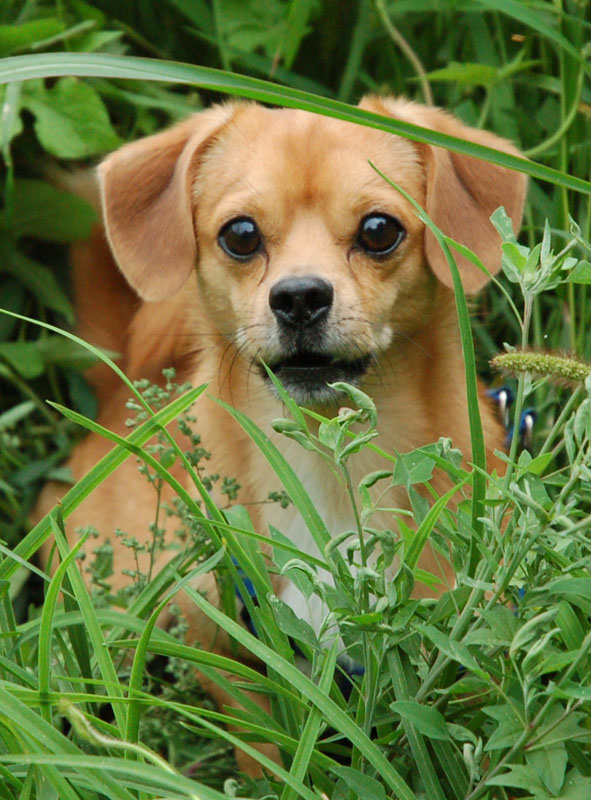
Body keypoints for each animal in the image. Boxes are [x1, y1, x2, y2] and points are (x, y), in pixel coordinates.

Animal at [34, 95, 528, 776]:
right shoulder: (231, 653)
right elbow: (266, 741)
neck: (327, 472)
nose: (298, 296)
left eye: (380, 230)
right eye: (240, 235)